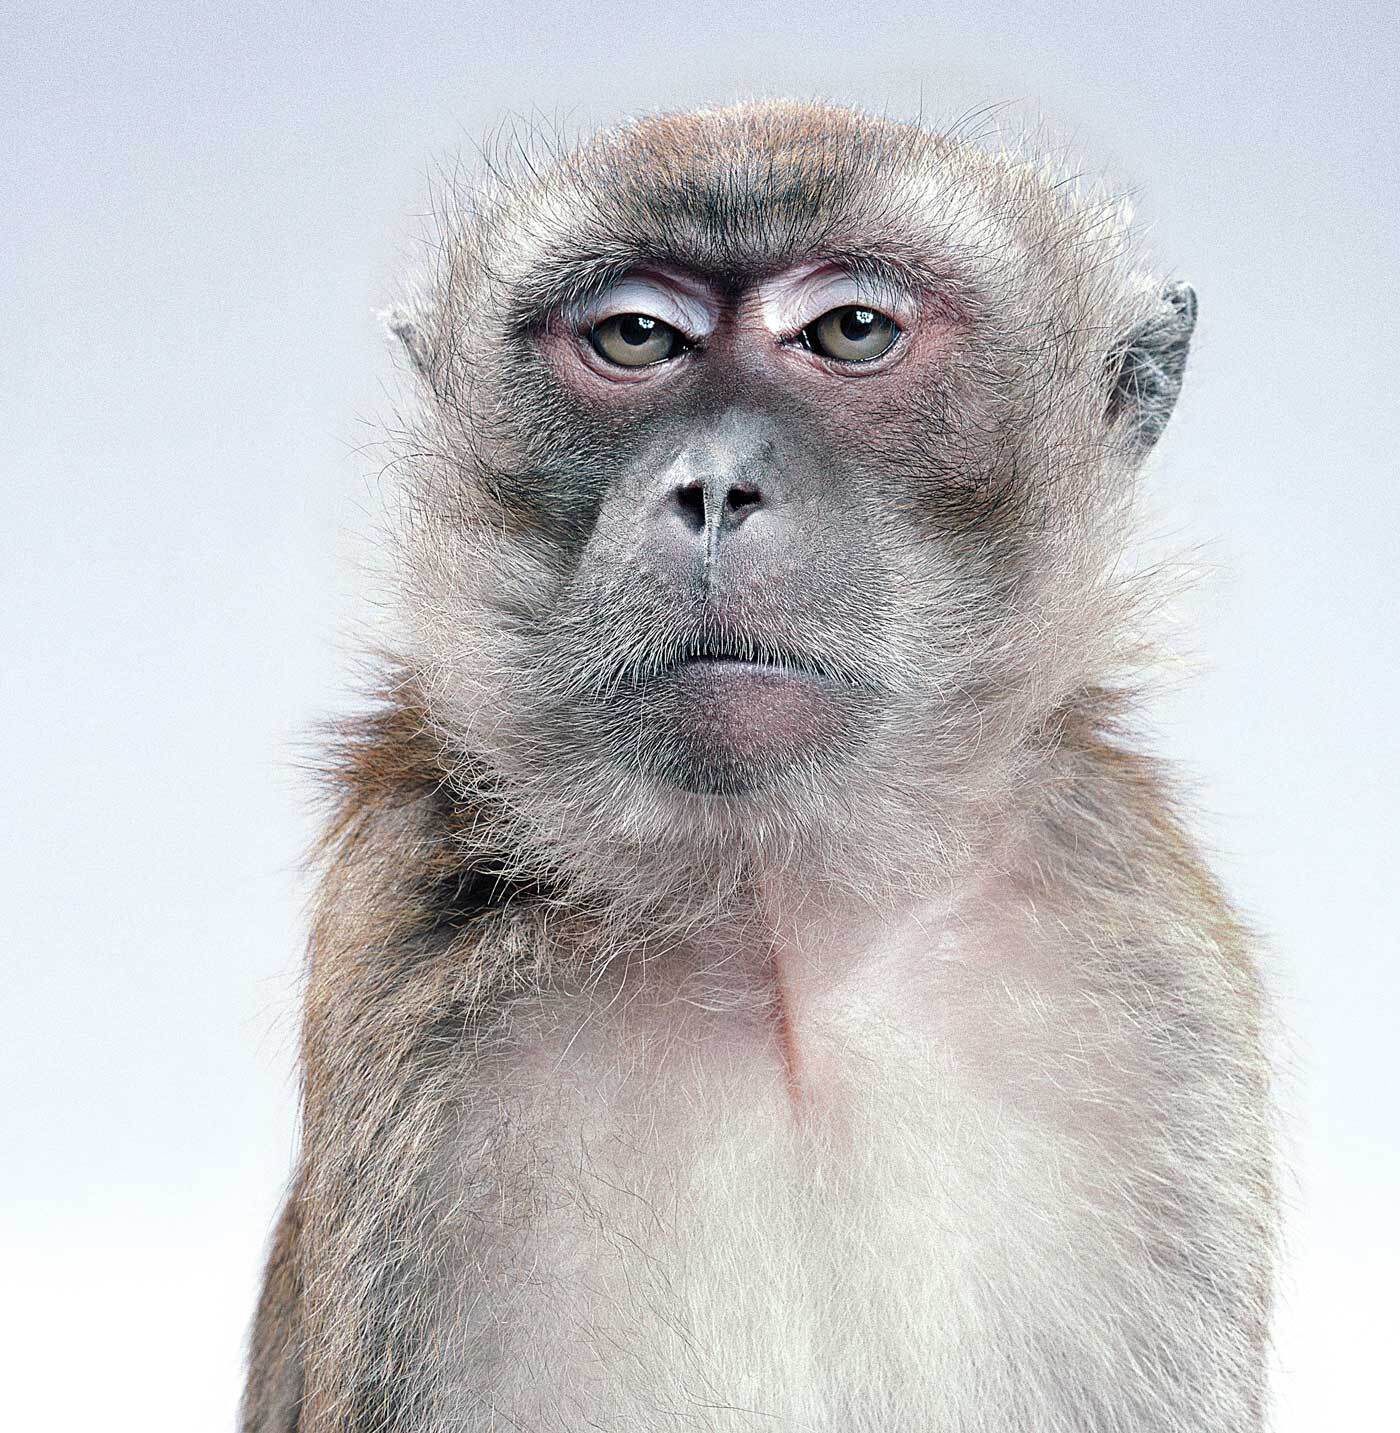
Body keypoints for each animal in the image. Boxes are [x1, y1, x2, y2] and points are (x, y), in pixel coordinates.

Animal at [243, 101, 1274, 1432]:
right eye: (635, 336)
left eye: (850, 329)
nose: (714, 486)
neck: (778, 922)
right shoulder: (420, 992)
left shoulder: (1144, 970)